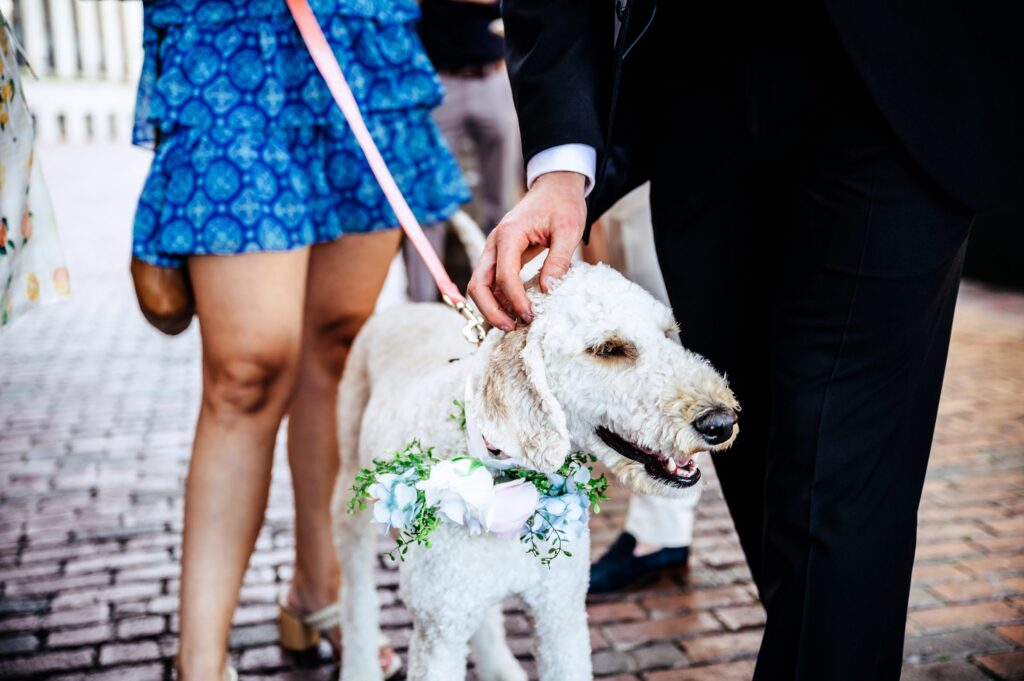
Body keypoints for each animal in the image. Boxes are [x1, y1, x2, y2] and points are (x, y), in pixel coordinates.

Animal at [333, 261, 737, 679]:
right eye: (608, 349)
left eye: (667, 334)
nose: (721, 423)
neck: (508, 481)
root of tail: (404, 307)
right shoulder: (439, 632)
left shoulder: (560, 614)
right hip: (350, 499)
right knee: (356, 594)